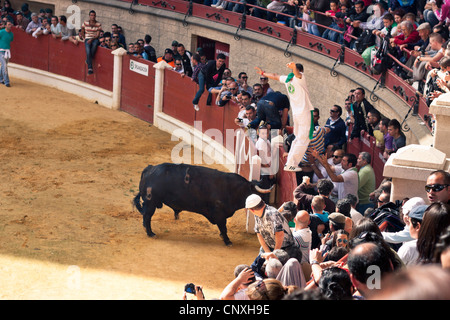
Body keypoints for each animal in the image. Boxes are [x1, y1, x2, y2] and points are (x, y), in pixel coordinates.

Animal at [134, 161, 272, 246]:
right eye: (260, 196)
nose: (266, 207)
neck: (233, 189)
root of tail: (150, 168)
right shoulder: (220, 214)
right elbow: (224, 228)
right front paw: (227, 241)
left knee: (146, 217)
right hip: (151, 202)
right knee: (147, 217)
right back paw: (151, 233)